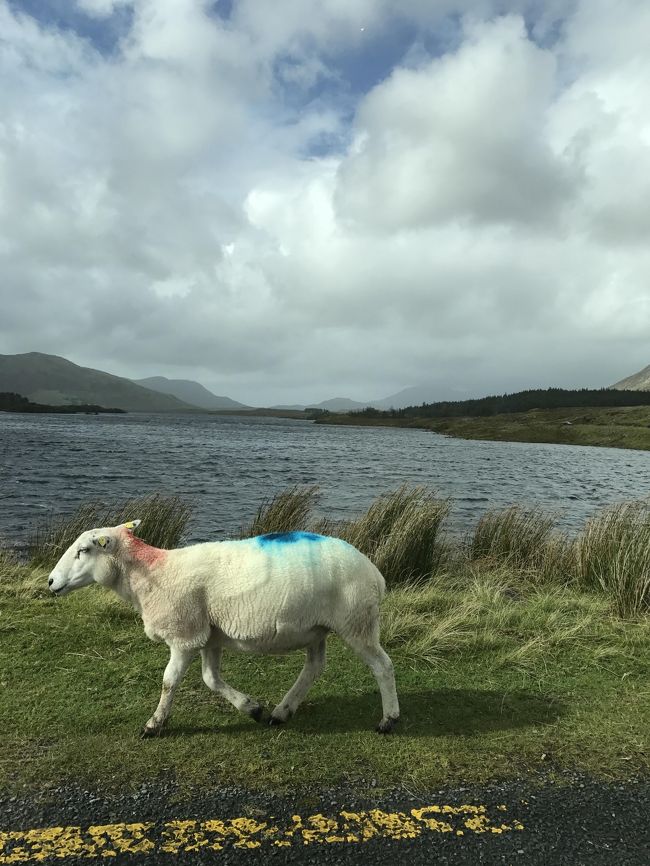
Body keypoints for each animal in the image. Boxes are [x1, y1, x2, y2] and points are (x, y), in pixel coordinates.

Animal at [46, 520, 400, 736]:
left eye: (83, 550)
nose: (50, 582)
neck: (152, 574)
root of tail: (375, 572)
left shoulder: (184, 635)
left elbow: (169, 682)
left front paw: (154, 725)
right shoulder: (208, 636)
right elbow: (210, 679)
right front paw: (252, 708)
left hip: (357, 621)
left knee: (383, 666)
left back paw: (388, 720)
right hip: (316, 627)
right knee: (314, 667)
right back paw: (281, 711)